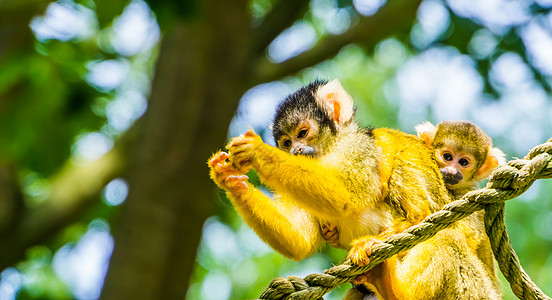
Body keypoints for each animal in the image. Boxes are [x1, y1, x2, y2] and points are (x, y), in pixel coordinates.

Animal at [207, 79, 500, 300]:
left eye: (303, 133)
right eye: (286, 143)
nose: (296, 151)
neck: (331, 150)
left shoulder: (358, 148)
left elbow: (346, 197)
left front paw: (255, 151)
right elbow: (299, 241)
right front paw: (228, 178)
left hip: (476, 292)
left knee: (444, 233)